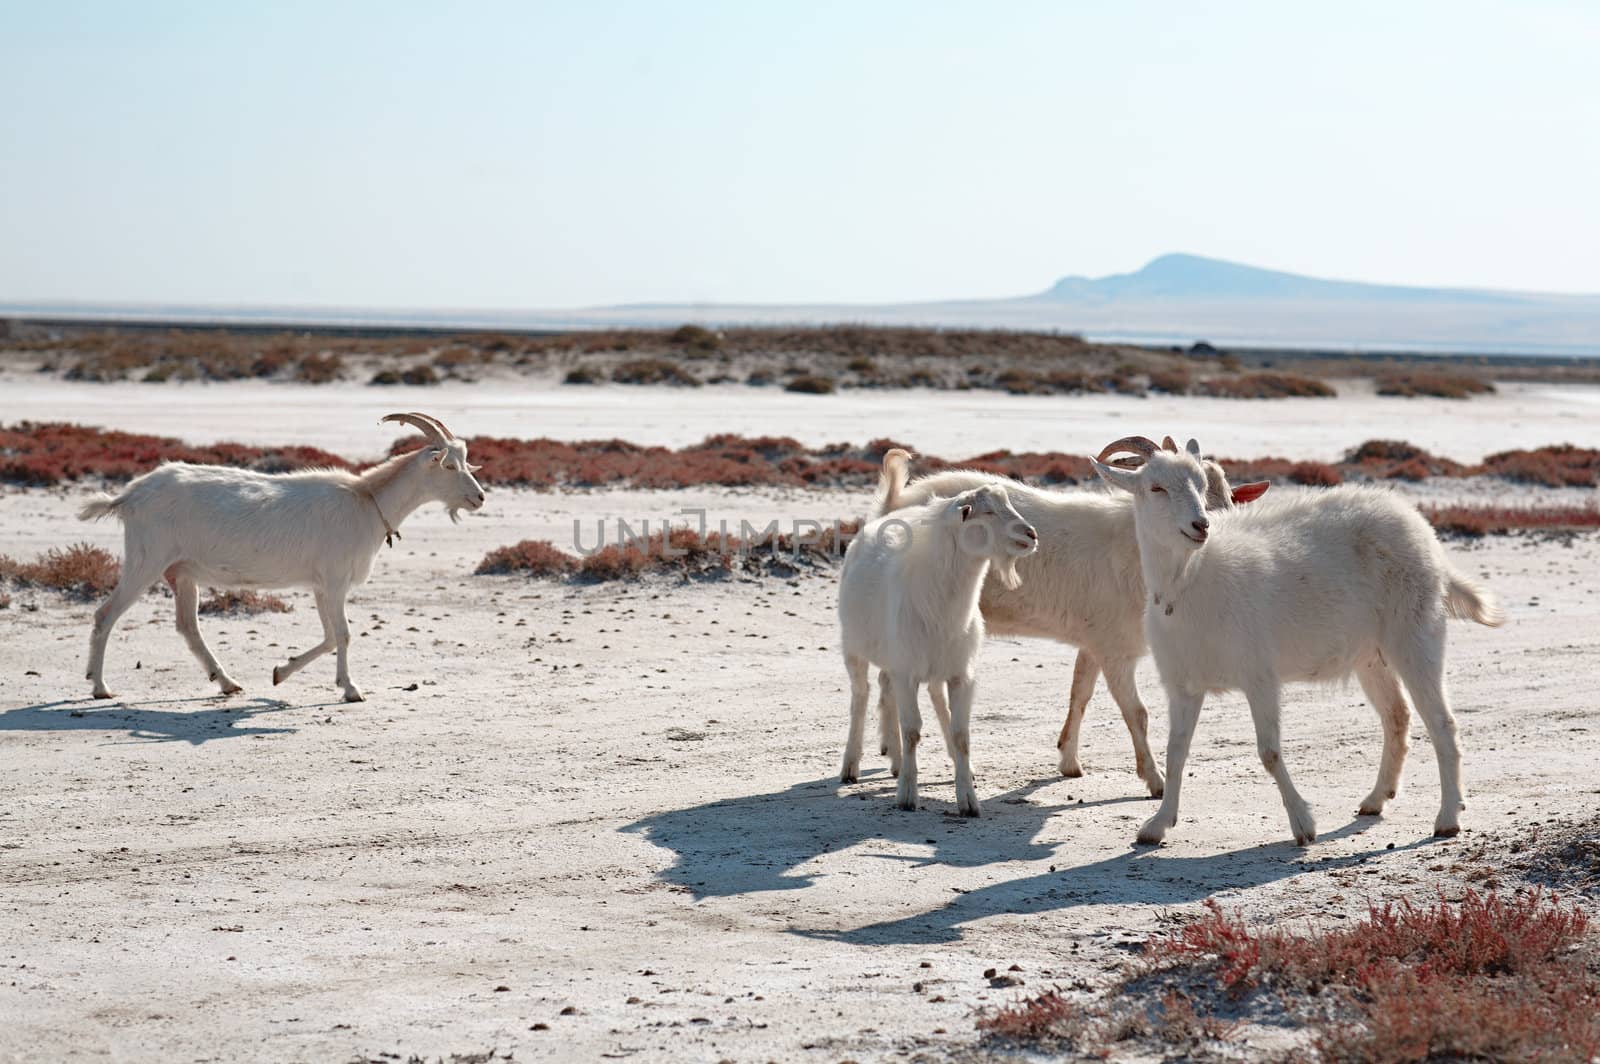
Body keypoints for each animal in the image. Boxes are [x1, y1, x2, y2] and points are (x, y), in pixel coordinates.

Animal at [76, 409, 486, 700]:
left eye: (466, 462)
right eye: (449, 465)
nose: (479, 497)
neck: (366, 502)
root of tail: (130, 495)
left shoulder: (322, 586)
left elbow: (330, 636)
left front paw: (280, 673)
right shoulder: (335, 582)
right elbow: (343, 634)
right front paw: (351, 689)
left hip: (182, 572)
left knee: (188, 627)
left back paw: (227, 682)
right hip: (146, 560)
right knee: (105, 615)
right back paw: (99, 687)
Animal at [838, 480, 1036, 812]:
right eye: (987, 511)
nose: (1031, 534)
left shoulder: (961, 674)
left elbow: (961, 734)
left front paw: (967, 798)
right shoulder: (907, 672)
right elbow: (912, 731)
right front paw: (907, 794)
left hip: (924, 662)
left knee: (904, 692)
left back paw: (897, 758)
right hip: (854, 650)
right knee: (860, 696)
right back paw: (851, 766)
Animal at [876, 438, 1260, 787]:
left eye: (1211, 489)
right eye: (1157, 487)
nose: (1203, 526)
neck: (1132, 546)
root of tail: (895, 503)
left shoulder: (1095, 640)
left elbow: (1081, 693)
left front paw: (1069, 761)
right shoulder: (1115, 649)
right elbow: (1136, 712)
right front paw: (1155, 780)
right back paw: (896, 757)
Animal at [1094, 435, 1504, 844]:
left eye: (1200, 483)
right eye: (1156, 488)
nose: (1201, 525)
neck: (1190, 578)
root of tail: (1425, 536)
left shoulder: (1259, 677)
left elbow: (1269, 752)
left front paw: (1303, 824)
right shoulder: (1184, 685)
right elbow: (1176, 752)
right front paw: (1157, 824)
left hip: (1415, 637)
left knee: (1441, 722)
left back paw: (1447, 817)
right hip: (1371, 657)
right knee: (1397, 716)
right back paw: (1376, 798)